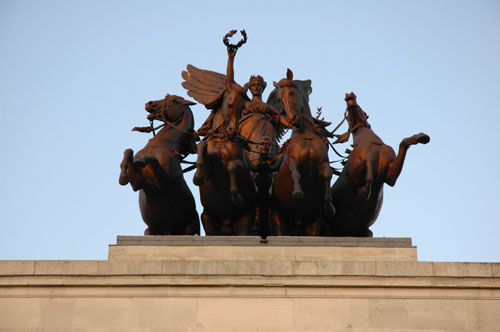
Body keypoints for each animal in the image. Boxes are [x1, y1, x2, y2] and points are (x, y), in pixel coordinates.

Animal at [118, 94, 199, 235]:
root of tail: (169, 232)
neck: (163, 143)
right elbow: (128, 151)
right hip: (150, 231)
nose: (149, 103)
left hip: (190, 228)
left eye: (174, 101)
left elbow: (150, 160)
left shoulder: (164, 184)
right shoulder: (139, 183)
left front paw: (139, 164)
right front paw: (123, 177)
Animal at [266, 69, 336, 236]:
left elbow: (328, 173)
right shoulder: (291, 160)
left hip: (313, 221)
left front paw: (329, 206)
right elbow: (295, 172)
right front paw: (297, 191)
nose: (292, 119)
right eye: (279, 98)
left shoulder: (323, 162)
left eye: (291, 93)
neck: (305, 135)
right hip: (278, 217)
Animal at [328, 92, 430, 236]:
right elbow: (368, 160)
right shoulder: (355, 174)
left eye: (362, 110)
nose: (349, 96)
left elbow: (404, 142)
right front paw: (366, 189)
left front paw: (421, 137)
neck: (370, 142)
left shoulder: (390, 177)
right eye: (348, 115)